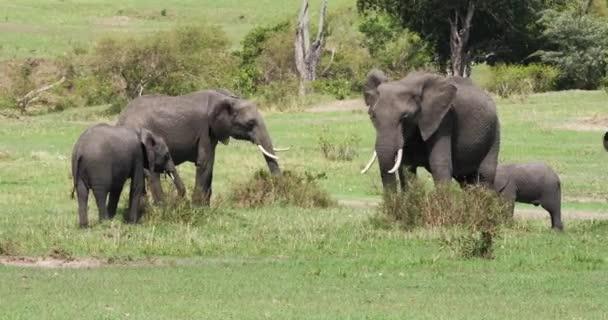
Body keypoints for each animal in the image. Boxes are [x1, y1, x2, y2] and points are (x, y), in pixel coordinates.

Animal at [360, 69, 498, 192]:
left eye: (405, 117)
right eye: (373, 116)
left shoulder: (444, 118)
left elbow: (439, 166)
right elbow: (406, 168)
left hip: (494, 130)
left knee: (486, 175)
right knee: (465, 182)